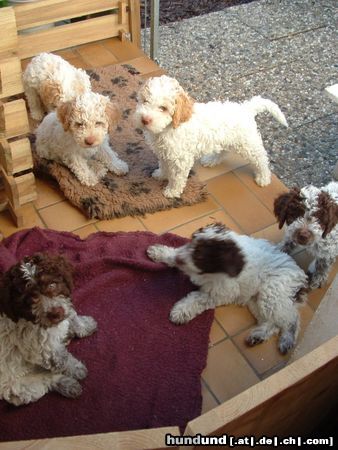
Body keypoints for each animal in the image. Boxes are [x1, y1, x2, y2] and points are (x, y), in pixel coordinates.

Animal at [0, 255, 97, 406]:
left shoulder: (64, 309)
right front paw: (76, 368)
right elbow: (63, 359)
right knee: (47, 380)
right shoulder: (45, 349)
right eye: (29, 300)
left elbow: (72, 318)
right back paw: (69, 384)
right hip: (19, 386)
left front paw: (86, 324)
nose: (55, 313)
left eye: (52, 284)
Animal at [135, 74, 288, 198]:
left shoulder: (181, 159)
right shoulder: (164, 153)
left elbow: (177, 177)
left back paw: (264, 177)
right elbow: (163, 164)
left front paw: (172, 191)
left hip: (247, 143)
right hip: (227, 140)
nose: (144, 120)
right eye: (145, 101)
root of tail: (246, 108)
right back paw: (211, 160)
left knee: (261, 158)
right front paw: (161, 174)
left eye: (163, 108)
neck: (168, 129)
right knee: (224, 151)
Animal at [147, 223, 308, 354]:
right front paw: (160, 253)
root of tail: (302, 279)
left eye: (201, 257)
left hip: (272, 295)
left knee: (290, 318)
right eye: (192, 241)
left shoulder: (220, 293)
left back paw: (286, 339)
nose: (180, 259)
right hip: (256, 300)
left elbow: (198, 299)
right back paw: (258, 336)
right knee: (273, 322)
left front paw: (181, 311)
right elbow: (175, 255)